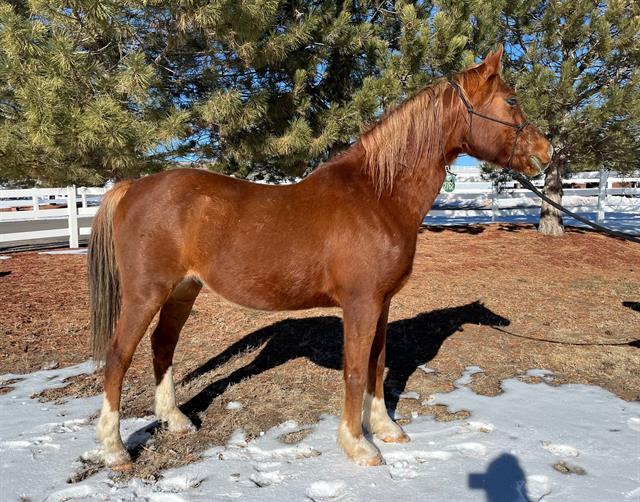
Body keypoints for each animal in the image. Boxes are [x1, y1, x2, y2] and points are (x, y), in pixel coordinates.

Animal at [87, 45, 552, 468]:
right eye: (511, 100)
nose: (545, 152)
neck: (378, 195)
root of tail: (132, 187)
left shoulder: (381, 303)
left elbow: (377, 364)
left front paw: (386, 429)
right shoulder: (361, 303)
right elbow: (355, 369)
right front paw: (359, 445)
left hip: (183, 290)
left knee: (162, 345)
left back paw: (177, 421)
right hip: (146, 293)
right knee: (118, 357)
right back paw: (115, 450)